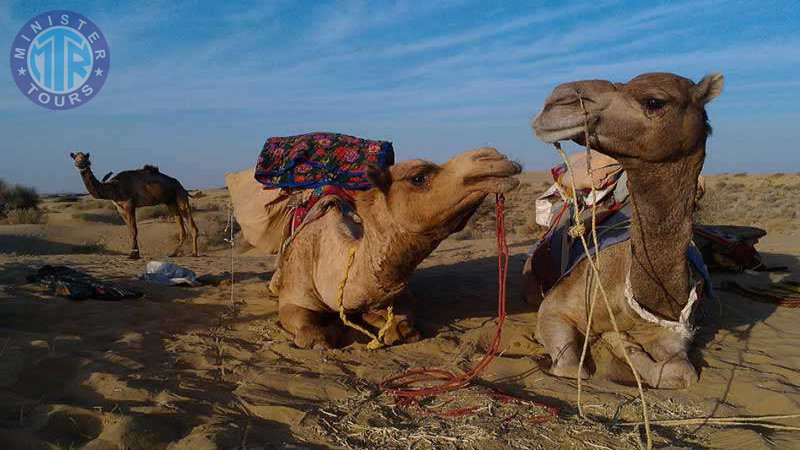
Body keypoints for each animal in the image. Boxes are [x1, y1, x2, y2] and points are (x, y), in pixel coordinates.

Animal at [69, 151, 199, 258]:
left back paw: (194, 253)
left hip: (180, 196)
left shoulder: (129, 204)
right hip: (170, 202)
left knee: (191, 224)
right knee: (182, 227)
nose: (80, 163)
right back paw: (174, 253)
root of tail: (182, 186)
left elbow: (134, 230)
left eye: (85, 157)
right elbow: (129, 230)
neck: (113, 188)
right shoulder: (120, 208)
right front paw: (134, 253)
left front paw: (134, 255)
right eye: (75, 157)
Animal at [276, 147, 520, 348]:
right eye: (418, 177)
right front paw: (317, 340)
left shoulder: (400, 294)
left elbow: (403, 317)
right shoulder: (294, 293)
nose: (495, 156)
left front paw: (394, 328)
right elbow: (302, 321)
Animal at [524, 72, 724, 388]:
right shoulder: (556, 309)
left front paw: (619, 340)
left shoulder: (671, 331)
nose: (556, 100)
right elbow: (572, 368)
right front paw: (616, 341)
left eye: (654, 101)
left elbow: (680, 374)